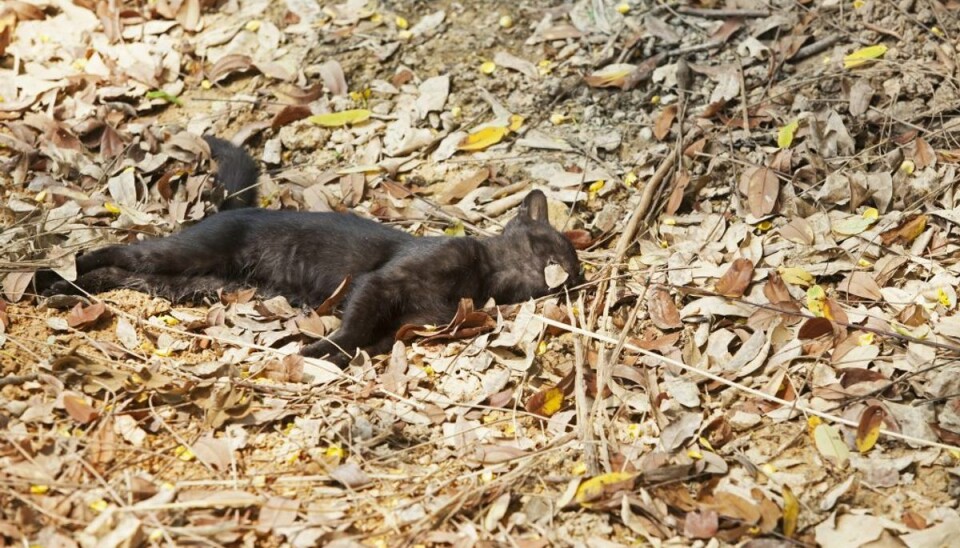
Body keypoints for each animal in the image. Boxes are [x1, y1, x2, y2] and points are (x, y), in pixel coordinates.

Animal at [45, 136, 580, 366]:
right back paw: (49, 278)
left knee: (126, 275)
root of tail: (238, 207)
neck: (481, 278)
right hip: (186, 254)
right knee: (118, 249)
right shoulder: (380, 282)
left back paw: (68, 290)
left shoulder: (410, 321)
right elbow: (353, 330)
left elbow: (368, 339)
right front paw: (314, 352)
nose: (570, 274)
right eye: (553, 246)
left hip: (186, 284)